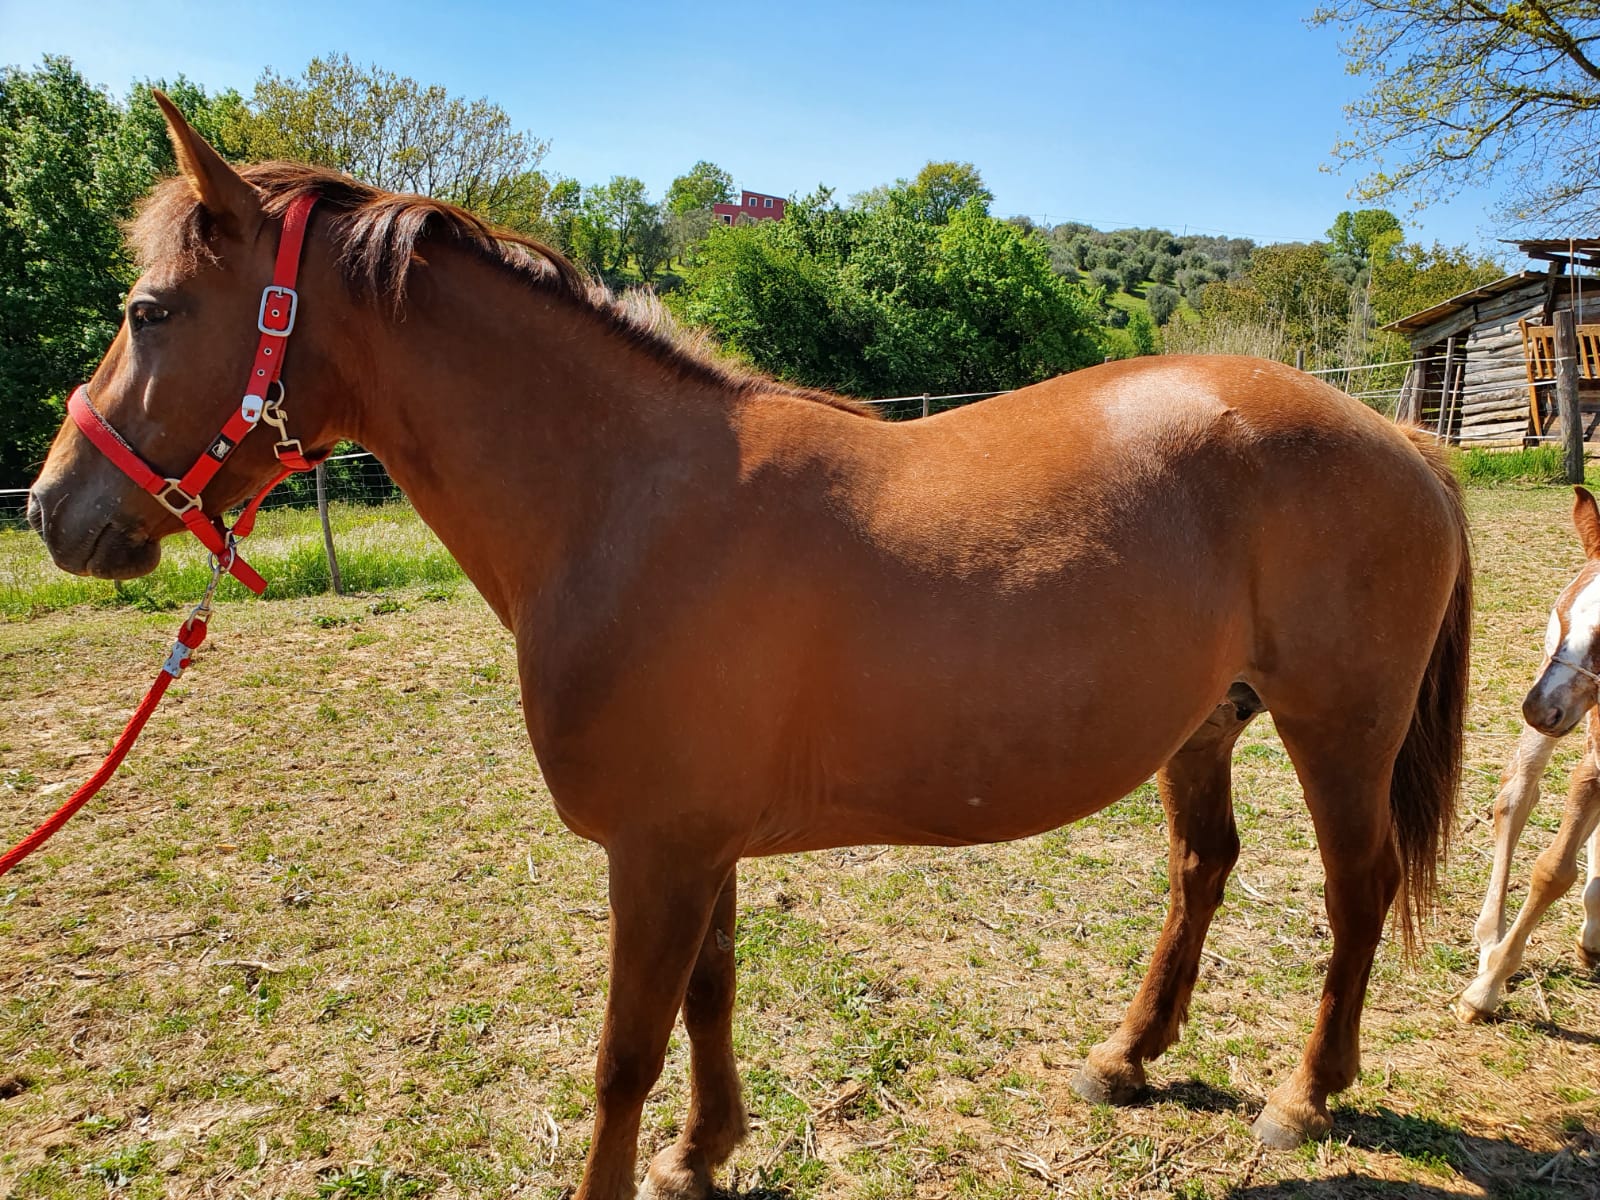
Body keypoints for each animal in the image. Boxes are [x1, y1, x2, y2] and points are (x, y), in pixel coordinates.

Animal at [25, 95, 1471, 1200]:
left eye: (151, 311)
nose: (51, 509)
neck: (629, 501)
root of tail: (1400, 437)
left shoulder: (655, 852)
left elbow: (625, 1053)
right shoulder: (695, 843)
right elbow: (710, 998)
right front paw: (702, 1151)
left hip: (1337, 728)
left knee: (1352, 891)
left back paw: (1304, 1094)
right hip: (1206, 722)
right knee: (1200, 869)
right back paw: (1130, 1056)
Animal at [1459, 486, 1600, 1023]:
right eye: (1564, 613)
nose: (1541, 708)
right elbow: (1552, 869)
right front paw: (1484, 991)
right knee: (1516, 797)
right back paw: (1491, 942)